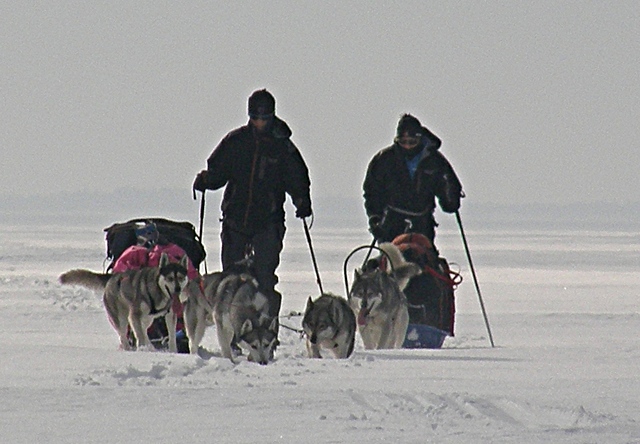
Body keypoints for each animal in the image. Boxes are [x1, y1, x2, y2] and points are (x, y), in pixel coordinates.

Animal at [58, 253, 189, 354]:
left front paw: (173, 351)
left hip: (146, 318)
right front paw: (142, 349)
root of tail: (112, 277)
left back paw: (150, 347)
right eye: (170, 278)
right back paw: (130, 349)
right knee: (124, 335)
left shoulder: (170, 314)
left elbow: (171, 335)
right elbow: (139, 335)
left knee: (143, 330)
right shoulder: (134, 315)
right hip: (121, 318)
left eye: (181, 277)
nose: (177, 289)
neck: (158, 291)